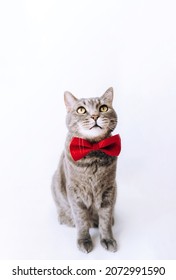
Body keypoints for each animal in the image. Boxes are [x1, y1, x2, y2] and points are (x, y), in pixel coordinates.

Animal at [50, 87, 119, 254]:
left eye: (103, 108)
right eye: (81, 110)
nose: (95, 116)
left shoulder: (109, 189)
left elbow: (105, 218)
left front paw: (107, 238)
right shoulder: (74, 191)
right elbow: (81, 218)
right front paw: (84, 240)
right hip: (55, 182)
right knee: (63, 208)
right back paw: (68, 218)